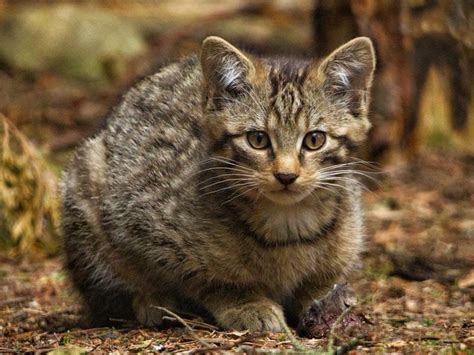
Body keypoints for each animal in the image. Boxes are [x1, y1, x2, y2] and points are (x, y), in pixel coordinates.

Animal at [62, 34, 374, 332]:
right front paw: (245, 303)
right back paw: (153, 302)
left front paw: (325, 298)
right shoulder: (141, 219)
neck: (287, 225)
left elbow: (325, 279)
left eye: (314, 139)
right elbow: (205, 278)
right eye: (257, 139)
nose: (286, 175)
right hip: (85, 183)